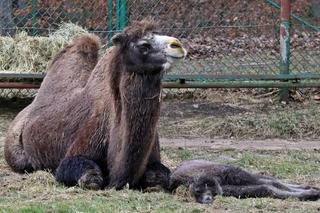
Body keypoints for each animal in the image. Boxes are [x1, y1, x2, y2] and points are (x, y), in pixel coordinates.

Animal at [169, 161, 318, 204]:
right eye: (196, 195)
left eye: (200, 190)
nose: (205, 199)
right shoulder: (230, 190)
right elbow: (266, 188)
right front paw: (309, 193)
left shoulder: (234, 176)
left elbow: (272, 184)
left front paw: (310, 192)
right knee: (269, 181)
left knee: (270, 179)